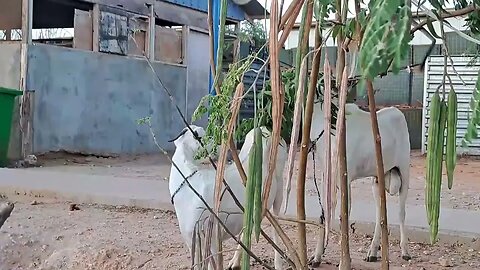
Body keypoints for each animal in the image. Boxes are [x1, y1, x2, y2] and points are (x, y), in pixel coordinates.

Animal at [310, 102, 410, 264]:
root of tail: (398, 113)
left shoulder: (346, 178)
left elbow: (343, 216)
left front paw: (343, 261)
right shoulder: (327, 177)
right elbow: (324, 213)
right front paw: (316, 256)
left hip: (404, 171)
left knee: (401, 212)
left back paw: (405, 251)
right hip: (377, 180)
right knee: (380, 212)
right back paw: (372, 252)